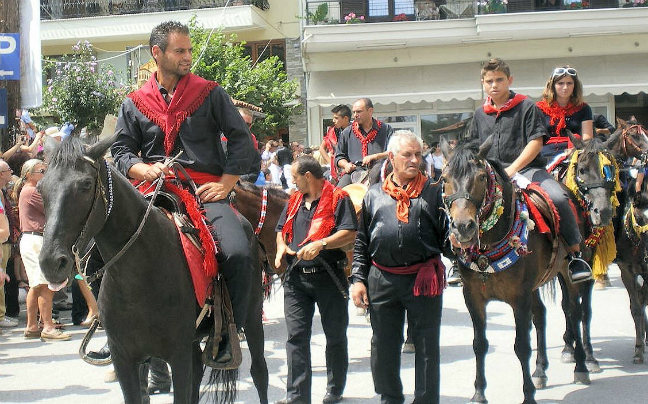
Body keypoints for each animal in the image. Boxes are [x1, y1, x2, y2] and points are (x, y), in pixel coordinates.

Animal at [37, 137, 268, 404]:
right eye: (41, 187)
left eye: (85, 184)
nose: (51, 262)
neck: (139, 278)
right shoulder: (125, 359)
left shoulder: (177, 356)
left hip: (252, 317)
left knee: (259, 371)